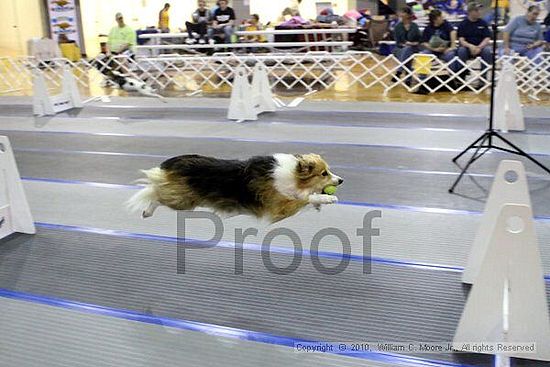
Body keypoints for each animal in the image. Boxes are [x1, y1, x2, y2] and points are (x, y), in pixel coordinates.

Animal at [129, 153, 344, 223]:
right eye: (324, 173)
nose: (341, 180)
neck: (293, 174)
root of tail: (174, 162)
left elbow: (306, 197)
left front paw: (320, 202)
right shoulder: (278, 206)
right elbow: (304, 198)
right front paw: (327, 199)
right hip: (182, 200)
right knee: (155, 193)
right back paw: (147, 211)